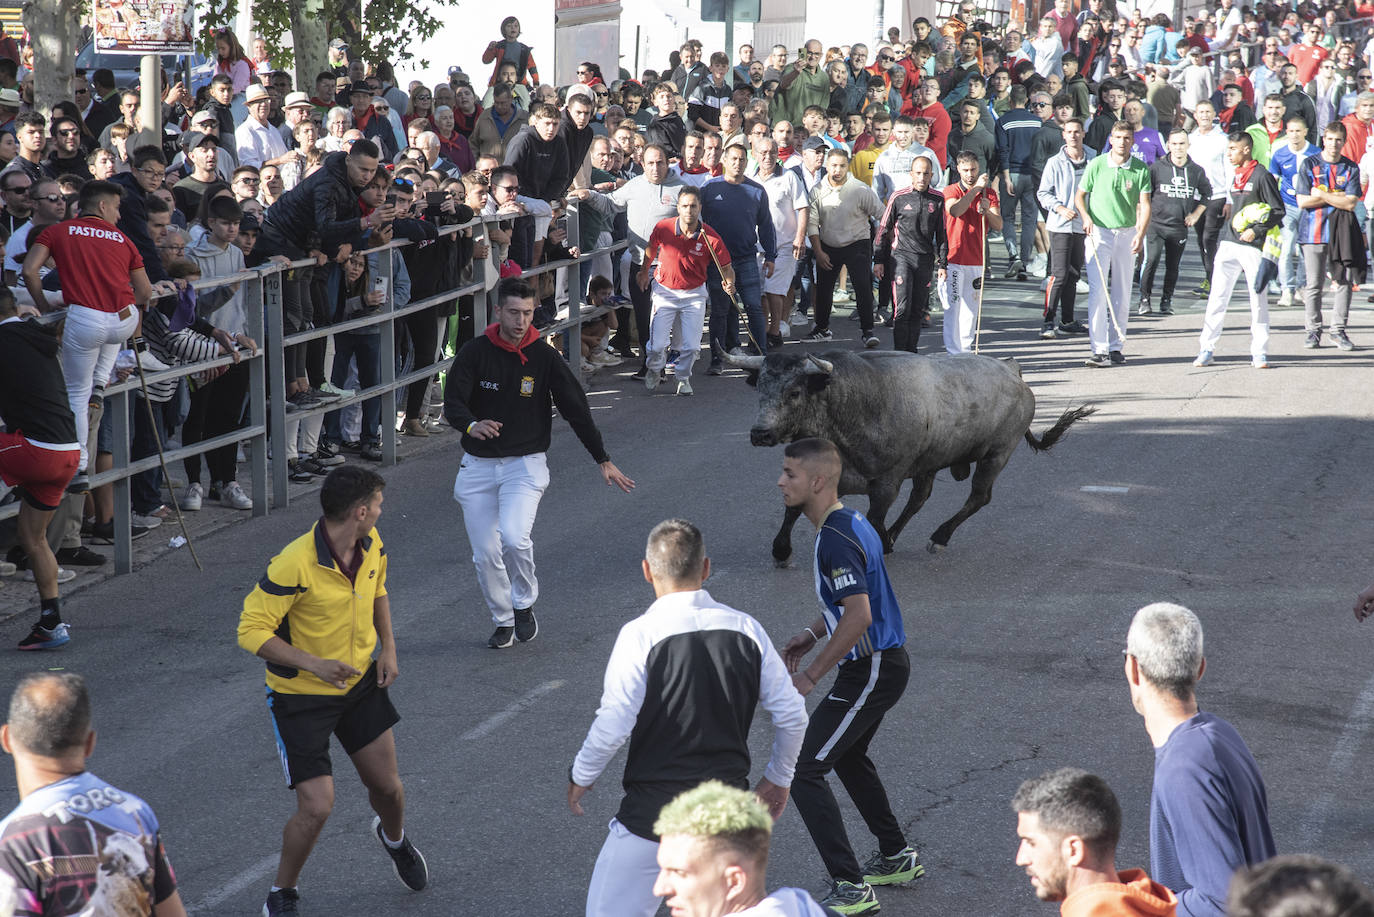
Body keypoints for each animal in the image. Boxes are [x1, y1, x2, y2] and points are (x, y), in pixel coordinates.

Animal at [719, 347, 1093, 563]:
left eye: (795, 391)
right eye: (761, 387)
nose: (760, 433)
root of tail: (1013, 369)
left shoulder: (887, 482)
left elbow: (874, 516)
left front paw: (878, 543)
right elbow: (792, 508)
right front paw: (780, 549)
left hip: (997, 454)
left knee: (978, 497)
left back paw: (938, 537)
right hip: (930, 462)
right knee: (920, 498)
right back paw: (896, 536)